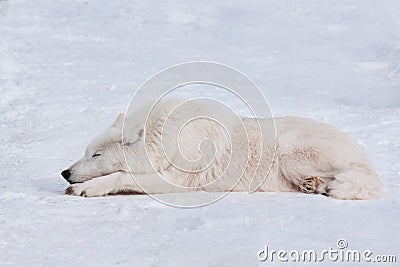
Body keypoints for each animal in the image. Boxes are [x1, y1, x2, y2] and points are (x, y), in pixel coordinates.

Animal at [61, 100, 382, 201]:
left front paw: (85, 188)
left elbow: (120, 176)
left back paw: (319, 185)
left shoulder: (172, 181)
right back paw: (313, 186)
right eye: (86, 151)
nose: (65, 172)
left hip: (290, 154)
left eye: (96, 155)